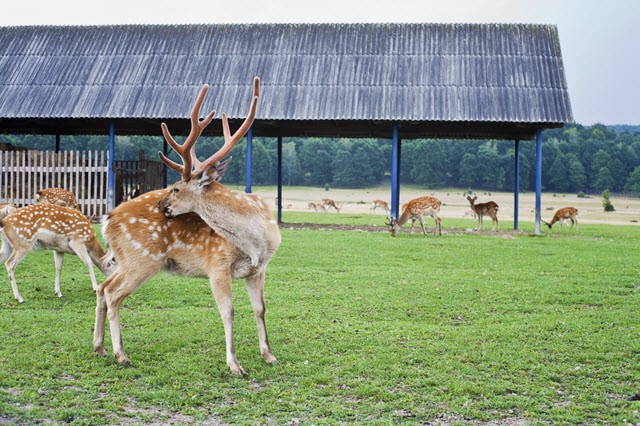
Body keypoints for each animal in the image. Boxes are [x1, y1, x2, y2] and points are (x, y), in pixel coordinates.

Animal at [93, 77, 280, 376]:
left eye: (176, 188)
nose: (161, 204)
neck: (255, 242)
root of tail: (107, 221)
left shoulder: (258, 270)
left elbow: (260, 309)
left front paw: (269, 356)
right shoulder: (217, 264)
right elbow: (228, 312)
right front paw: (235, 365)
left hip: (125, 260)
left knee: (102, 288)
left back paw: (99, 348)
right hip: (141, 259)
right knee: (113, 294)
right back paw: (121, 355)